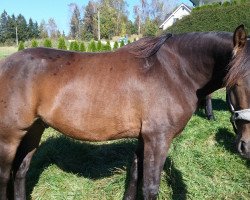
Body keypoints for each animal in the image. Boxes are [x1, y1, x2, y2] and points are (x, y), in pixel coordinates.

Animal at [0, 27, 239, 200]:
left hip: (34, 130)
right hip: (9, 137)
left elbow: (134, 174)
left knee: (20, 171)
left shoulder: (145, 137)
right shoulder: (159, 139)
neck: (175, 71)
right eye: (238, 81)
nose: (243, 146)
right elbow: (150, 187)